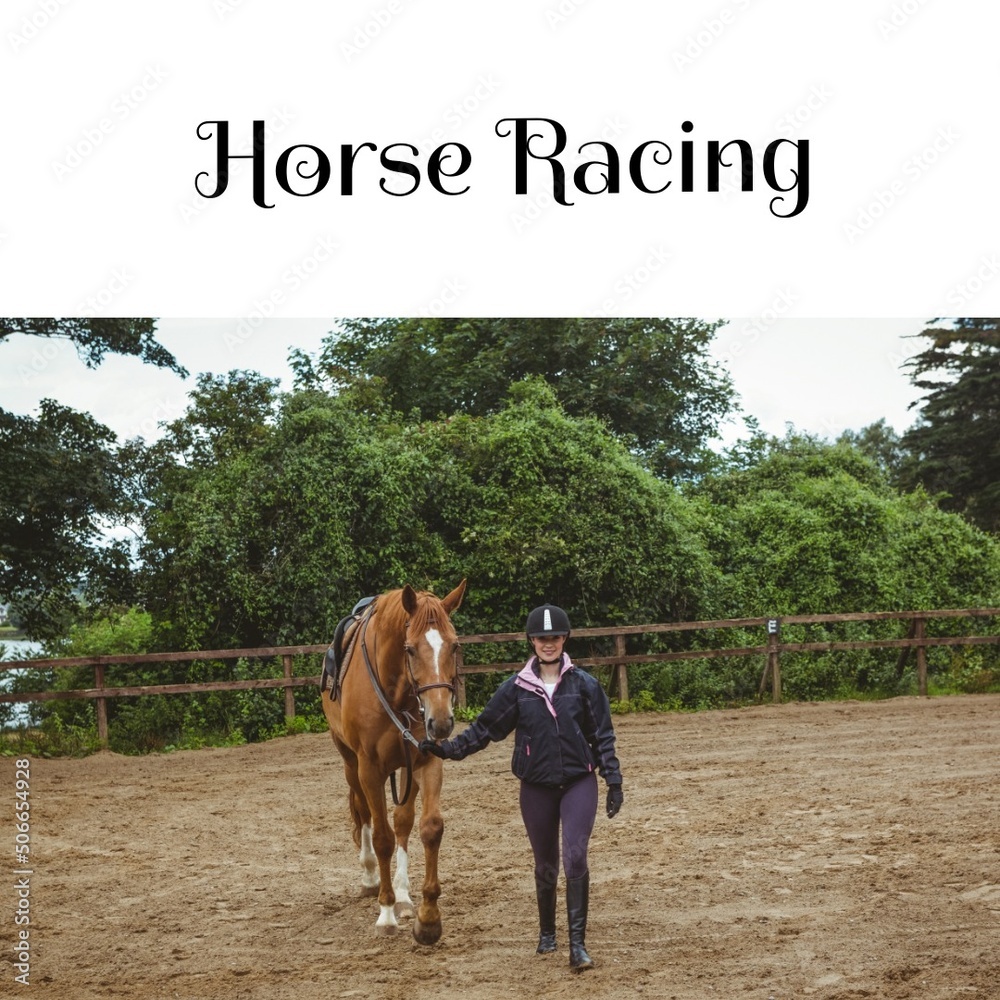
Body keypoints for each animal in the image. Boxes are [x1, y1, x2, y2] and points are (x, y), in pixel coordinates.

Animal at [322, 584, 466, 940]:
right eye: (410, 649)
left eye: (455, 645)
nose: (441, 721)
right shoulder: (369, 769)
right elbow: (382, 838)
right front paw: (385, 913)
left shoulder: (426, 759)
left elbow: (428, 827)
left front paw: (427, 917)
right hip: (350, 764)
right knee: (364, 814)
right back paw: (371, 878)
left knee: (402, 821)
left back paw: (402, 894)